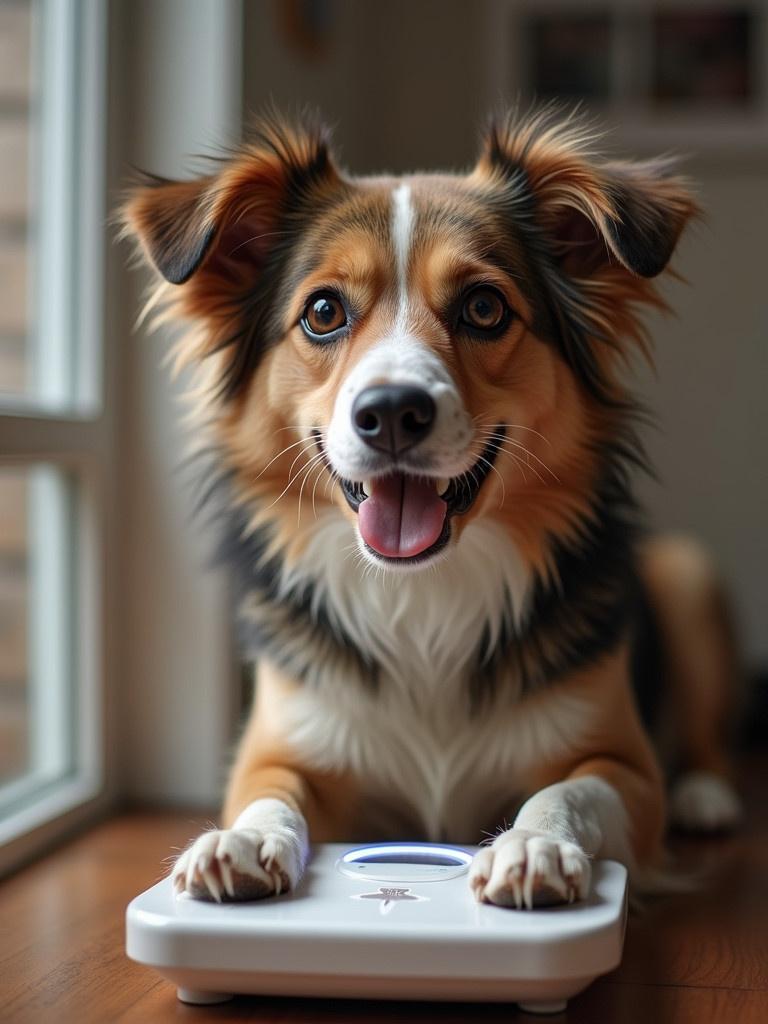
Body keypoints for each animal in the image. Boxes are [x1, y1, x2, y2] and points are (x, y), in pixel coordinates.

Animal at [123, 110, 741, 913]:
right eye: (323, 311)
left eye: (483, 306)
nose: (391, 412)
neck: (419, 593)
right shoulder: (277, 748)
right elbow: (269, 795)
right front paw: (245, 840)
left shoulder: (625, 769)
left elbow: (566, 792)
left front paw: (533, 845)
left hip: (687, 573)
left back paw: (706, 793)